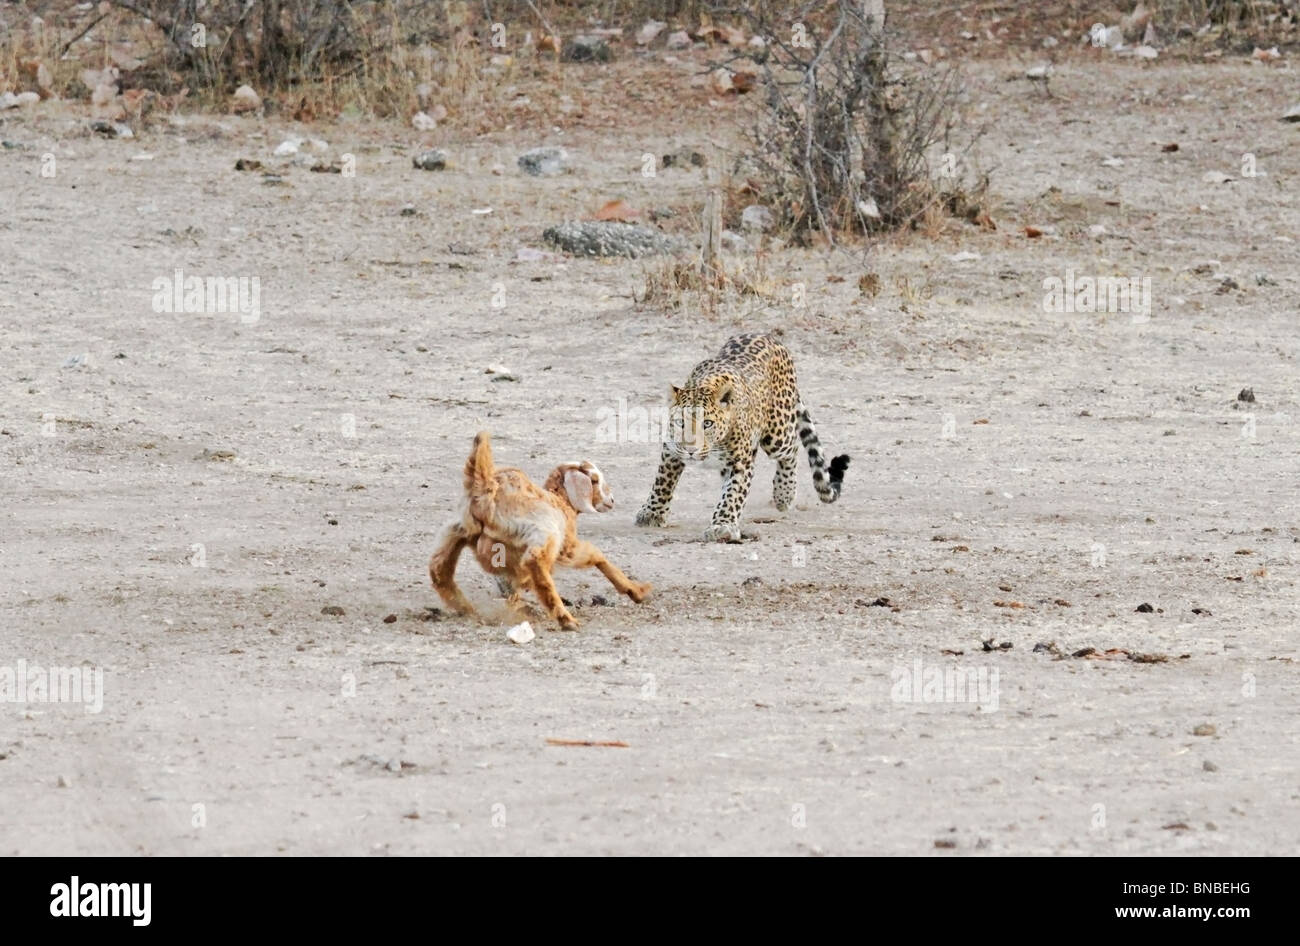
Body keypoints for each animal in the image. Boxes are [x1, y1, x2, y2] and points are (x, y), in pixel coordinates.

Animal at [634, 333, 850, 542]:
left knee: (793, 448)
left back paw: (784, 494)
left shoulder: (741, 462)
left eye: (707, 423)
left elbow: (733, 495)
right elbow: (663, 482)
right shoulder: (672, 449)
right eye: (680, 422)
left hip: (777, 434)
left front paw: (722, 526)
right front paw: (652, 514)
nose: (691, 451)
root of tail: (768, 335)